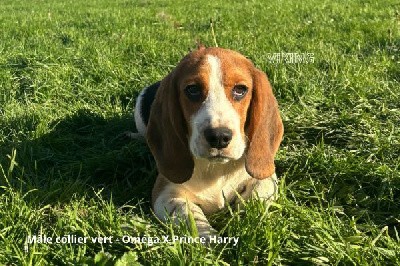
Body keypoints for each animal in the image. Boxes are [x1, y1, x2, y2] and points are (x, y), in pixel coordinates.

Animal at [135, 46, 284, 238]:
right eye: (192, 89)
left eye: (240, 89)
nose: (219, 137)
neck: (215, 169)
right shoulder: (165, 193)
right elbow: (190, 215)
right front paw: (209, 237)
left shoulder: (266, 179)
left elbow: (258, 194)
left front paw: (244, 221)